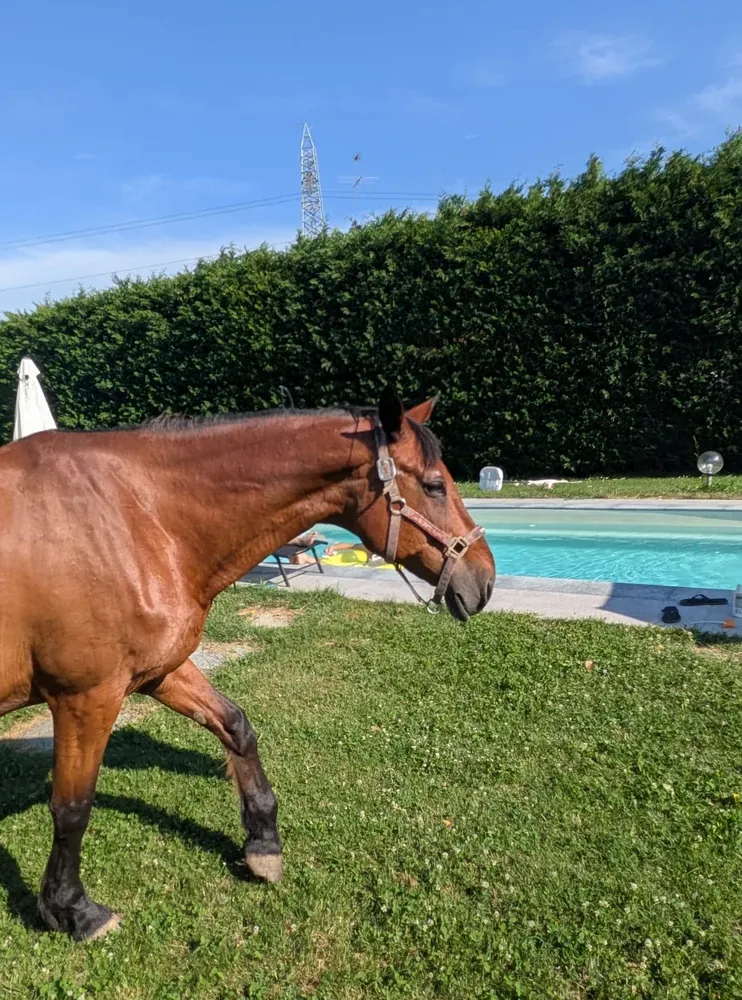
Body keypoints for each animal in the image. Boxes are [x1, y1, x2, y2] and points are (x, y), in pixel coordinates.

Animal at [0, 387, 495, 940]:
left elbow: (236, 726)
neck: (136, 518)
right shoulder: (86, 697)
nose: (484, 581)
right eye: (434, 485)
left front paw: (263, 844)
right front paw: (71, 908)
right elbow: (72, 806)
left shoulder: (159, 671)